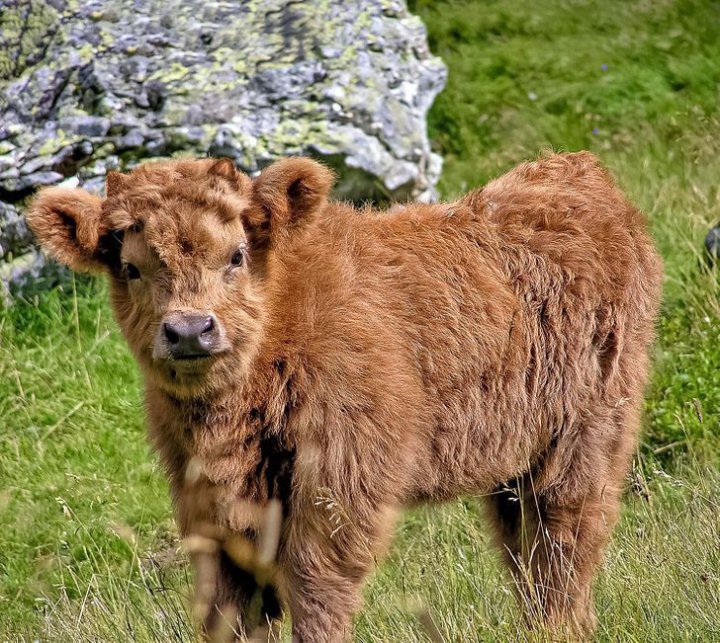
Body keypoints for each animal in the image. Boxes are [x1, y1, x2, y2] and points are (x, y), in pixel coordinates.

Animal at [29, 153, 664, 640]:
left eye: (236, 255)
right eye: (131, 267)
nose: (188, 330)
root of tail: (574, 171)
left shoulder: (339, 483)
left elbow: (317, 592)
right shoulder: (207, 505)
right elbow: (230, 608)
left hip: (588, 434)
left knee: (565, 546)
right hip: (514, 460)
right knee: (525, 555)